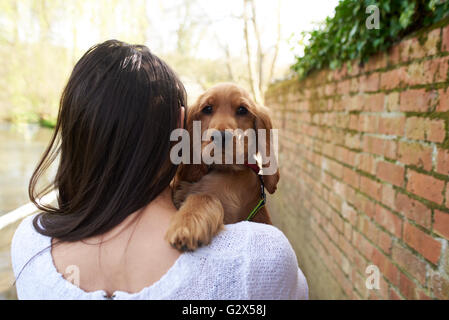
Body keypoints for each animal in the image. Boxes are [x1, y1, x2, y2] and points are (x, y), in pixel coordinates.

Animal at [166, 82, 278, 250]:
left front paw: (186, 225)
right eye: (207, 108)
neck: (220, 168)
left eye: (242, 110)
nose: (221, 137)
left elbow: (205, 195)